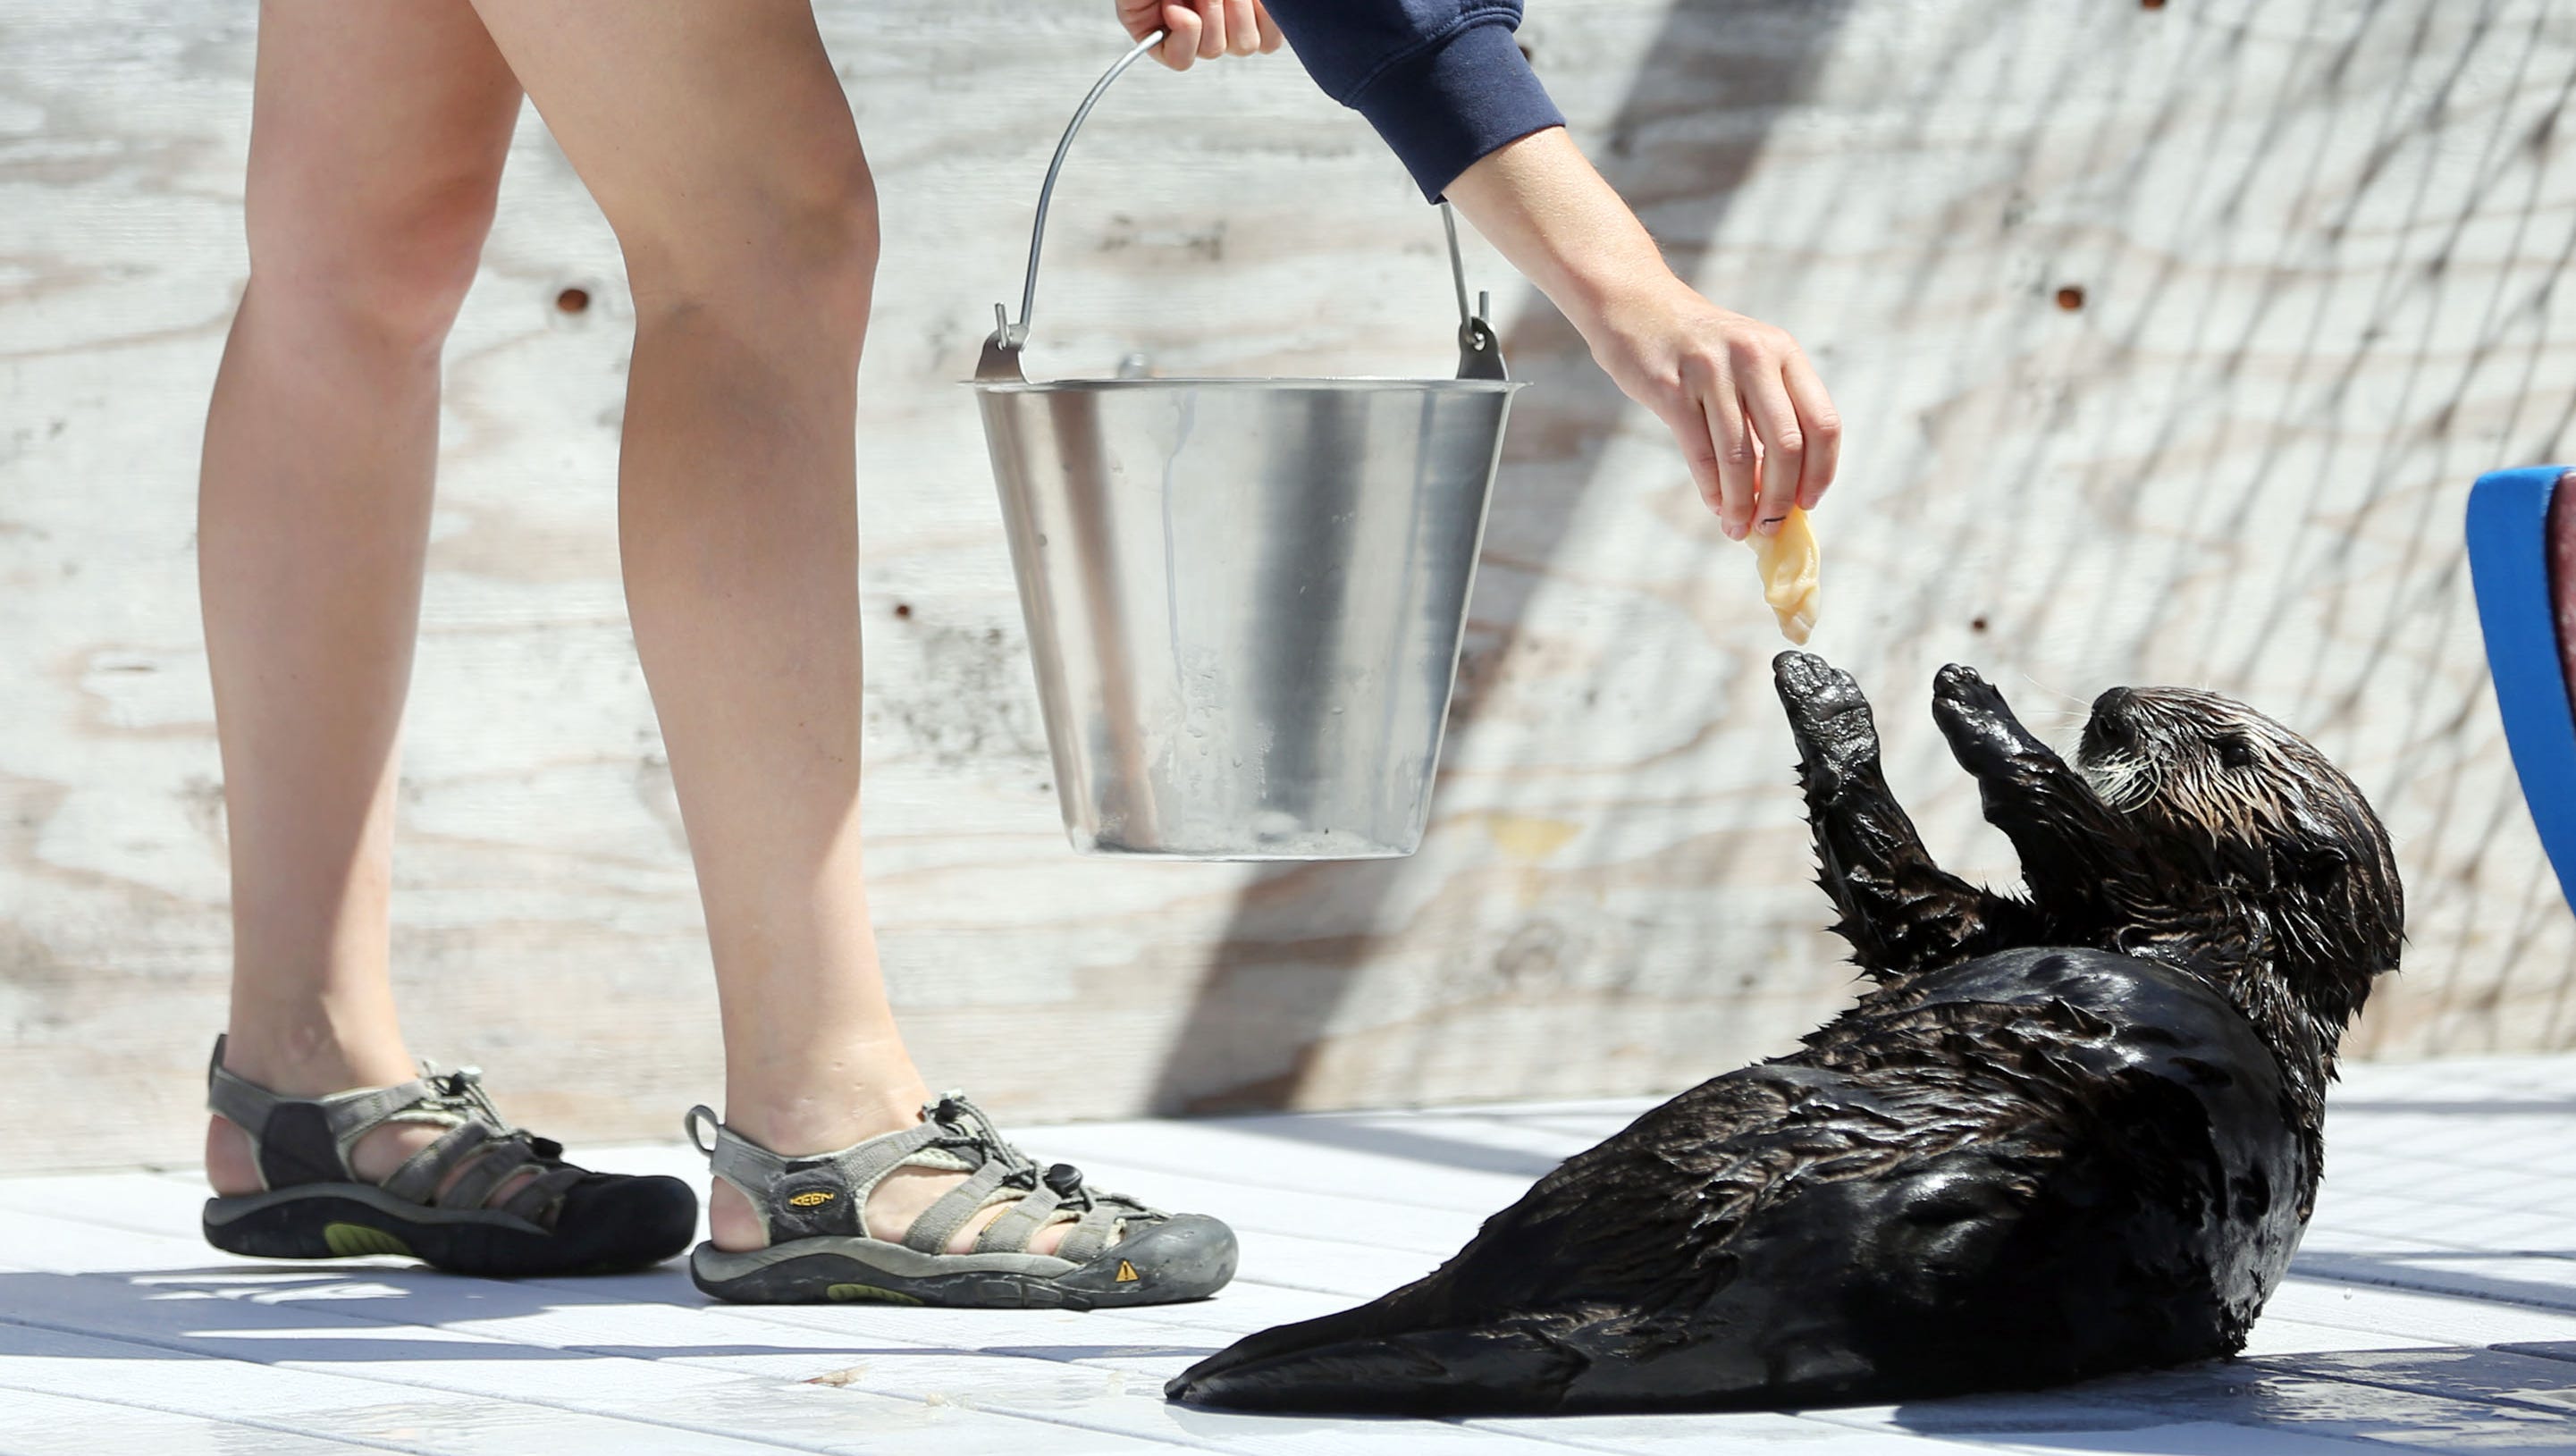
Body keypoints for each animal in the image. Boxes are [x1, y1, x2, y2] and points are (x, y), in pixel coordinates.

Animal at [1166, 653, 2404, 1415]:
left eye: (2231, 748)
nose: (2108, 702)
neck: (2250, 951)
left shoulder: (2154, 904)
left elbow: (2063, 825)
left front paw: (1974, 700)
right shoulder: (1995, 923)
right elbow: (1894, 891)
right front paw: (1828, 693)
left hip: (1675, 1140)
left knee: (1469, 1275)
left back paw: (1246, 1354)